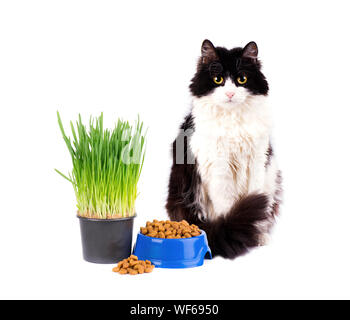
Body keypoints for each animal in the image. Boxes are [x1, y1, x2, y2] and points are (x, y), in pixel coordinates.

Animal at [166, 40, 282, 260]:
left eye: (241, 79)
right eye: (218, 79)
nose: (230, 94)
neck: (233, 119)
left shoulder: (256, 163)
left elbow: (255, 204)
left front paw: (254, 235)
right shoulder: (219, 169)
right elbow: (228, 207)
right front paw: (238, 235)